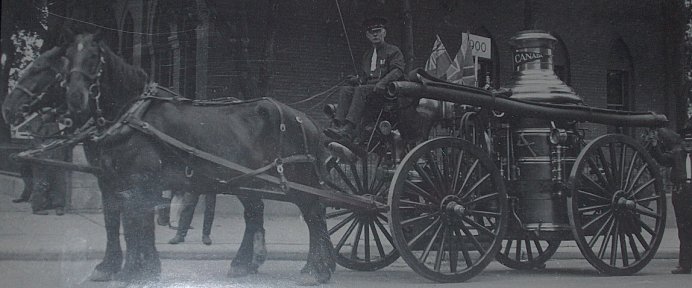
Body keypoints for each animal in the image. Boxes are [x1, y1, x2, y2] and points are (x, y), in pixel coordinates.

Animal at [2, 46, 272, 282]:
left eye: (41, 69)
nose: (8, 108)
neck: (127, 117)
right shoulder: (109, 180)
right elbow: (116, 222)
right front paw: (118, 267)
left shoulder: (136, 182)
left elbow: (135, 224)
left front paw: (133, 270)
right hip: (244, 182)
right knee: (255, 213)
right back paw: (250, 263)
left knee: (253, 213)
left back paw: (242, 263)